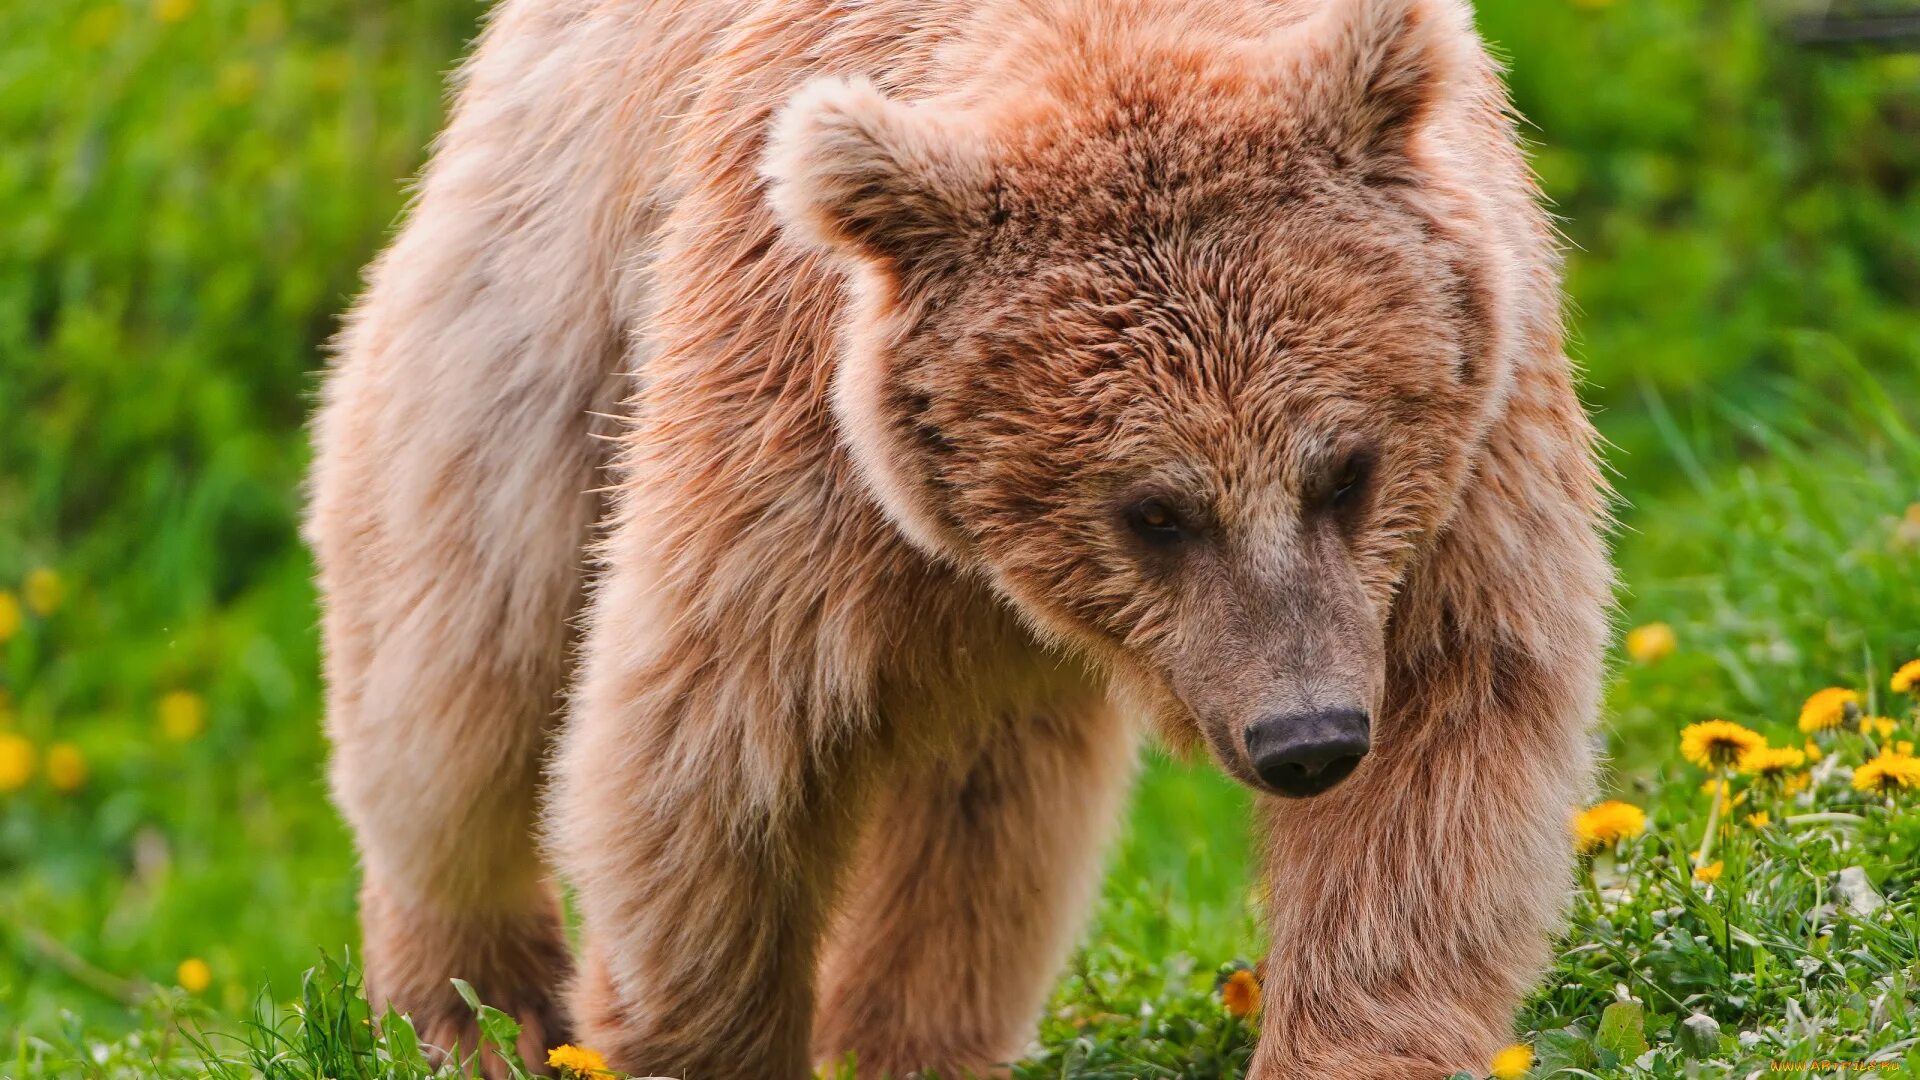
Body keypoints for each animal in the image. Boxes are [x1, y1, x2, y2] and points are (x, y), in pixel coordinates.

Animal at [307, 0, 1612, 1068]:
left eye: (1344, 471)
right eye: (1155, 511)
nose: (1307, 740)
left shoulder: (1470, 451)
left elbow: (1446, 759)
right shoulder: (792, 446)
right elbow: (710, 758)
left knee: (986, 805)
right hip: (544, 289)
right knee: (461, 660)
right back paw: (466, 1009)